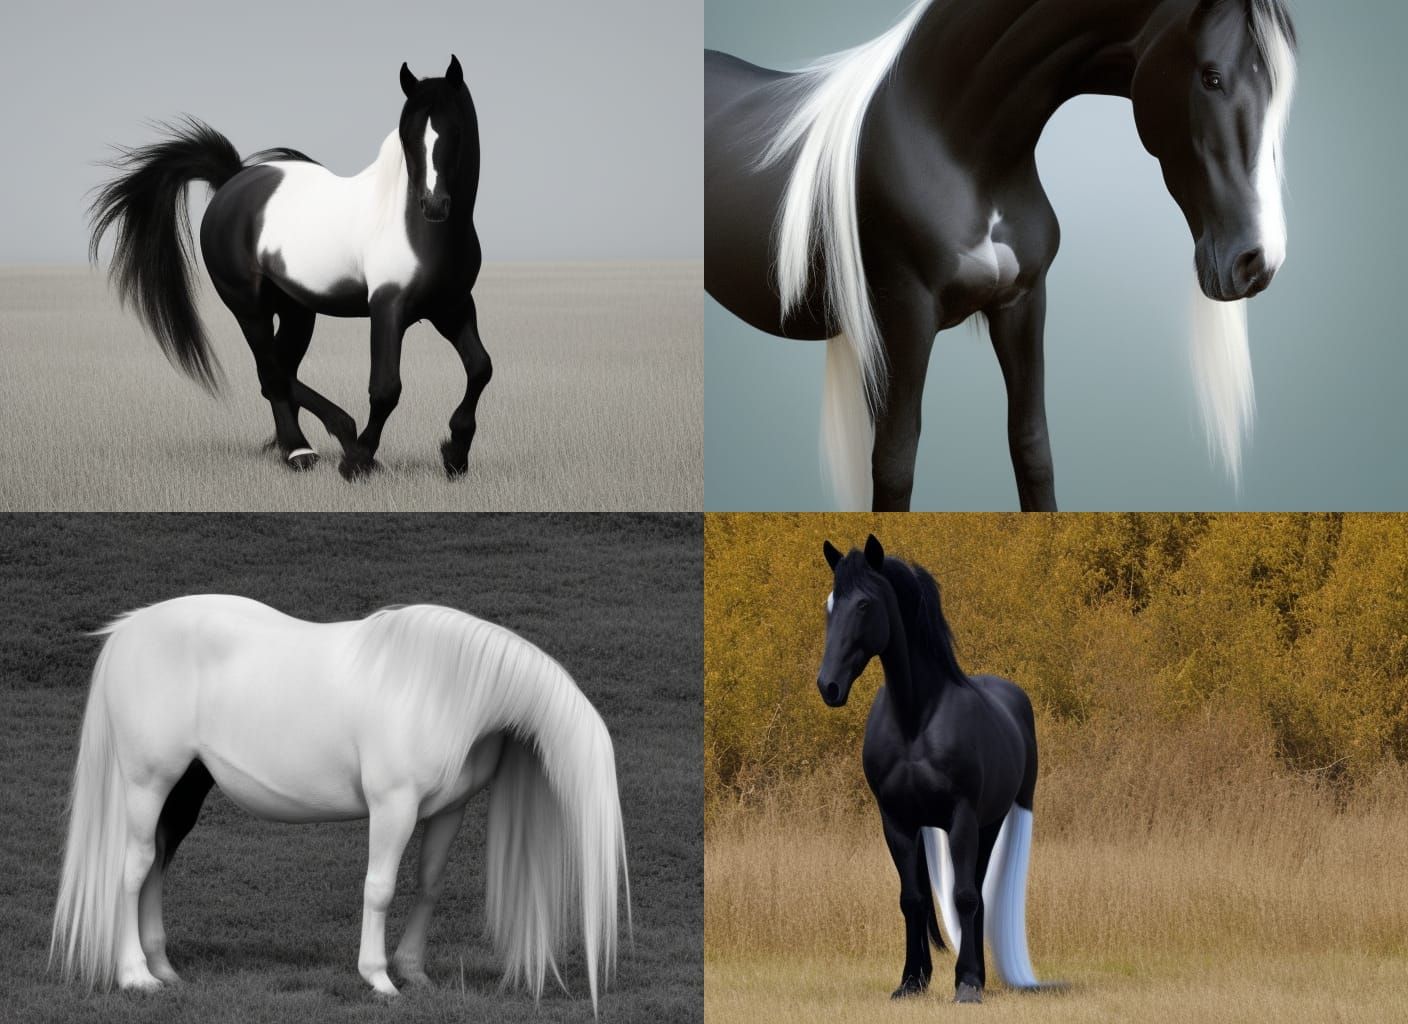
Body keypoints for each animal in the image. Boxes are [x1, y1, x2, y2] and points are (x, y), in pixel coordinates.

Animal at [50, 596, 629, 1012]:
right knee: (133, 869)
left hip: (182, 791)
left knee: (156, 865)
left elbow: (428, 885)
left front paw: (414, 972)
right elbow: (380, 887)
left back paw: (163, 969)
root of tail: (129, 630)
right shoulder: (393, 807)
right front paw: (378, 977)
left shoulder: (448, 810)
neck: (443, 689)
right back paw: (134, 976)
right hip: (147, 784)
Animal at [88, 56, 491, 480]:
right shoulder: (388, 307)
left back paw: (315, 438)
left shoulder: (452, 307)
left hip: (298, 310)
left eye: (456, 130)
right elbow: (385, 388)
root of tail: (232, 181)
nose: (434, 205)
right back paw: (302, 450)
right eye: (408, 135)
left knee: (278, 368)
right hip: (249, 307)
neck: (420, 231)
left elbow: (480, 368)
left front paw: (455, 454)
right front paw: (357, 462)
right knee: (270, 370)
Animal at [706, 0, 1298, 510]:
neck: (953, 143)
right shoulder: (903, 317)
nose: (1258, 262)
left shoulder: (1022, 301)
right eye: (1212, 76)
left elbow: (1031, 446)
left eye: (1281, 91)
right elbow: (894, 462)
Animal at [817, 535, 1044, 1003]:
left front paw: (968, 983)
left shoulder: (963, 818)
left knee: (976, 891)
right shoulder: (896, 821)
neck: (915, 721)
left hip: (991, 823)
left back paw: (976, 975)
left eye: (864, 604)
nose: (828, 686)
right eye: (829, 603)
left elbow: (964, 896)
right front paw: (910, 981)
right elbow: (913, 899)